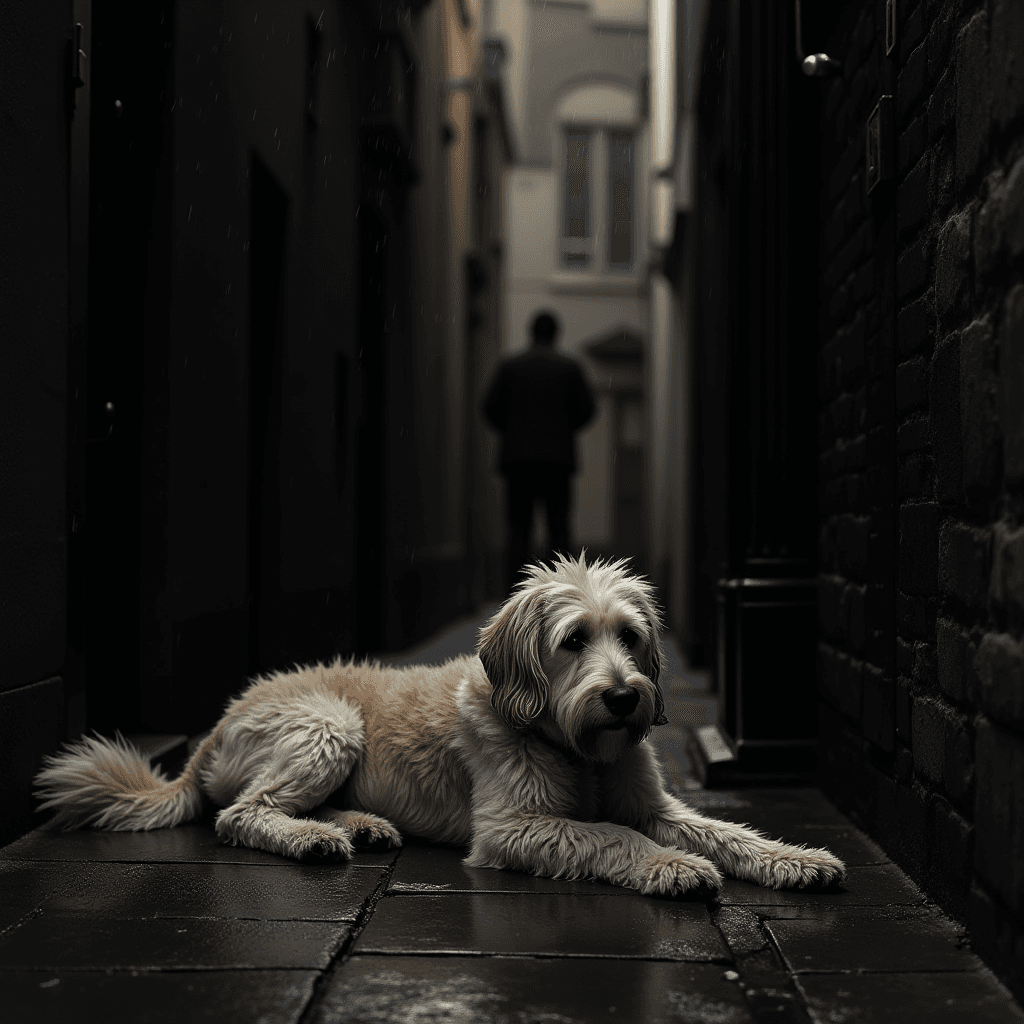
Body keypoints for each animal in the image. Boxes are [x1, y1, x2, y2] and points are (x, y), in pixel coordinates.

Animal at [36, 552, 843, 897]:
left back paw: (358, 826)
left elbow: (722, 829)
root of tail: (219, 720)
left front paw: (793, 858)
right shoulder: (513, 826)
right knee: (240, 815)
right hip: (328, 726)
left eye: (632, 636)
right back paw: (315, 840)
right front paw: (668, 865)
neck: (572, 747)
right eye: (573, 640)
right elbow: (609, 836)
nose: (623, 699)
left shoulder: (653, 803)